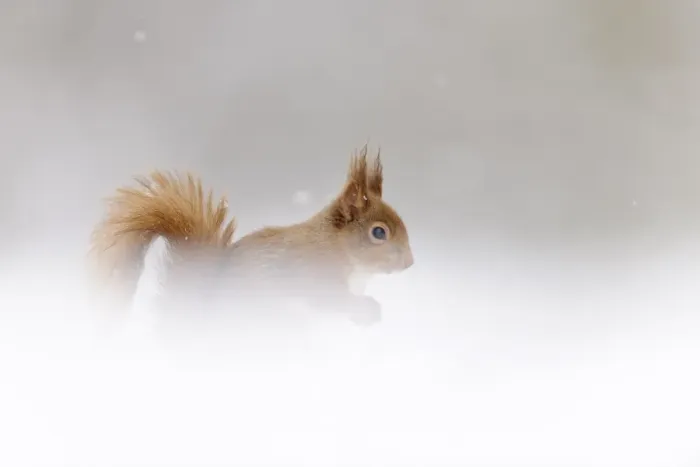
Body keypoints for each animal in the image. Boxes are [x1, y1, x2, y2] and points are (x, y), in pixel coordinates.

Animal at [88, 145, 414, 326]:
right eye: (378, 232)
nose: (410, 263)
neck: (339, 249)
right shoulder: (312, 272)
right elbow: (328, 300)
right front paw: (366, 309)